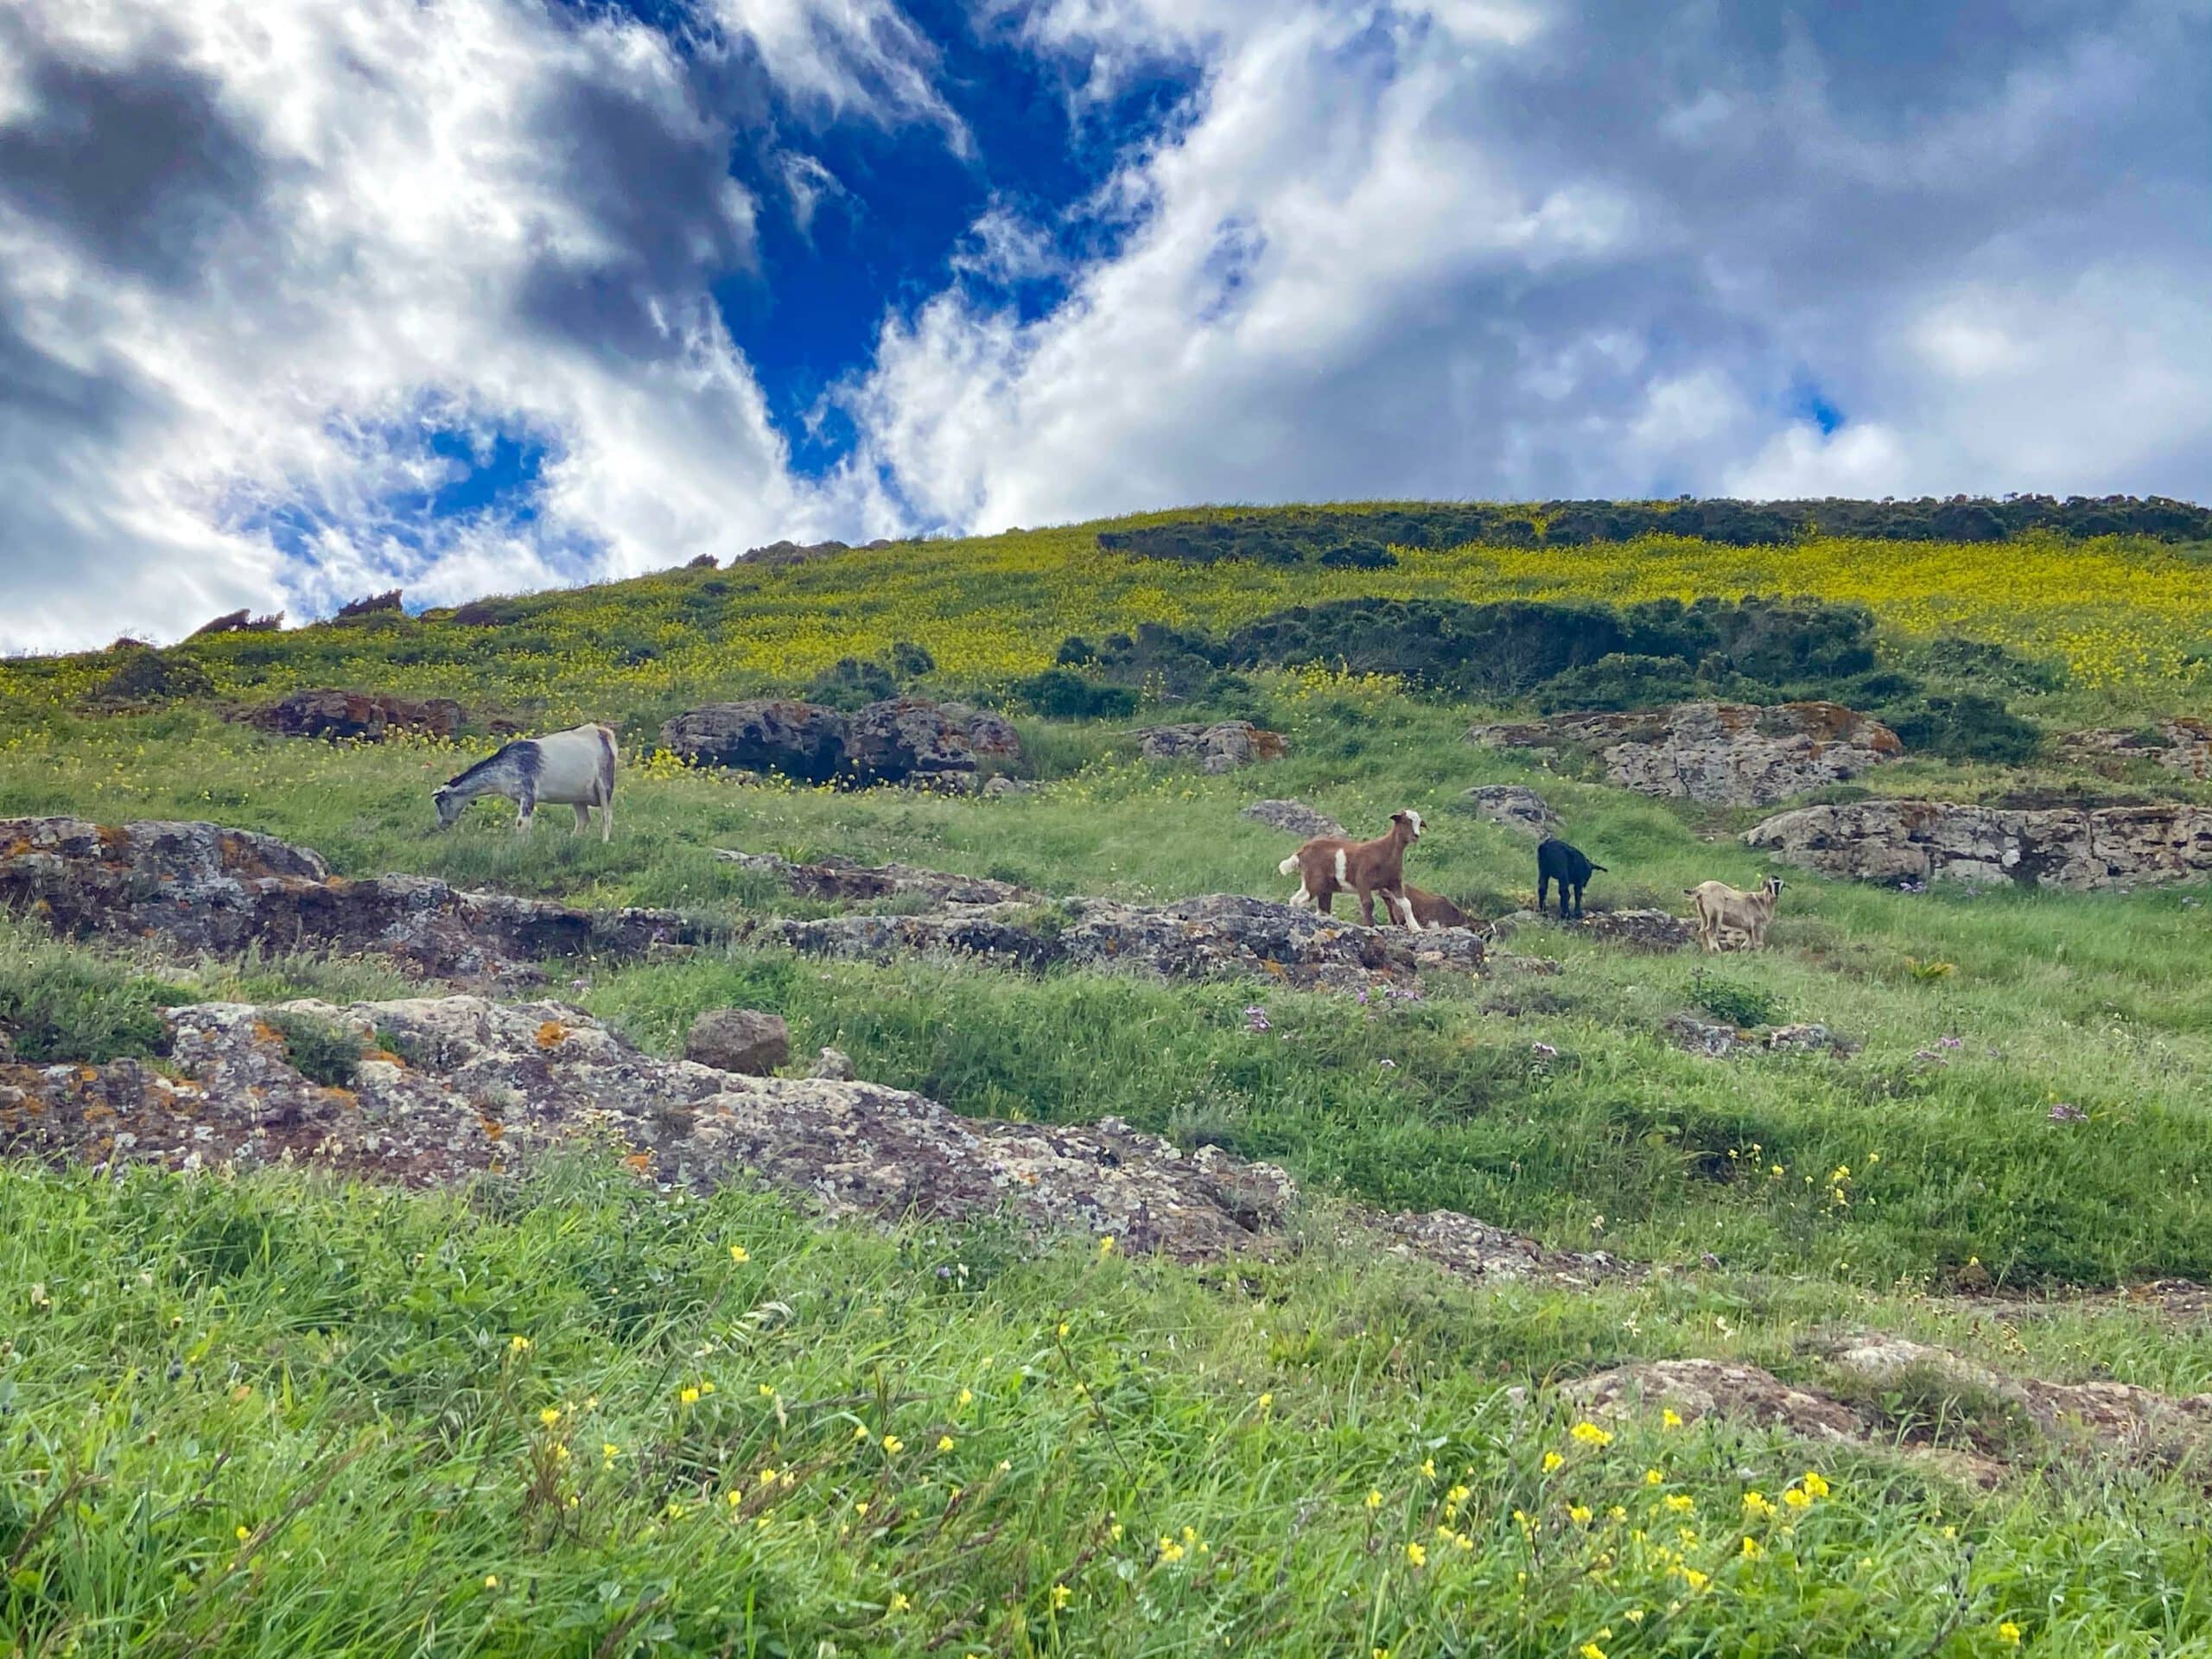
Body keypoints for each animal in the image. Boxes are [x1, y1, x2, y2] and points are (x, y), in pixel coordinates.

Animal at [1282, 814, 1433, 929]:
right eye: (1406, 821)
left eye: (1420, 823)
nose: (1416, 835)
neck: (1384, 850)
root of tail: (1301, 851)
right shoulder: (1363, 880)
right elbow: (1368, 903)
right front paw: (1370, 926)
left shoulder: (1393, 883)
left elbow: (1406, 904)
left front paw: (1416, 928)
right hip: (1314, 881)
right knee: (1298, 900)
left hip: (1322, 887)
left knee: (1319, 909)